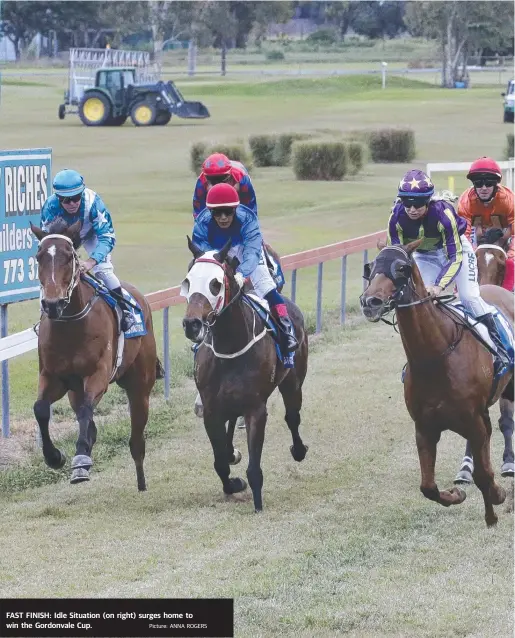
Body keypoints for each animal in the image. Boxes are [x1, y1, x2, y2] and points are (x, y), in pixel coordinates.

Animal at [30, 220, 159, 490]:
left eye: (70, 257)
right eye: (39, 256)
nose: (52, 304)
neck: (70, 326)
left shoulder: (98, 374)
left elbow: (86, 411)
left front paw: (80, 460)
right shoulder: (52, 376)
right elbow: (41, 409)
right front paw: (54, 456)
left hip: (140, 386)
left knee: (136, 439)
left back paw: (141, 483)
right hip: (74, 389)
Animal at [182, 238, 310, 512]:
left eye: (216, 284)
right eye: (187, 281)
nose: (192, 324)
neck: (229, 348)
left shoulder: (255, 409)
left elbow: (254, 467)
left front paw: (258, 503)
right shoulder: (211, 410)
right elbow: (219, 461)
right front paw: (234, 483)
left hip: (293, 382)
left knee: (292, 417)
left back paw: (299, 449)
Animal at [360, 241, 512, 528]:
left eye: (402, 268)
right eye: (370, 267)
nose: (369, 301)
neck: (434, 356)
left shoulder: (474, 420)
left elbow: (484, 476)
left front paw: (495, 501)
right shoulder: (425, 427)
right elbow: (428, 487)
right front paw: (456, 494)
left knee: (506, 423)